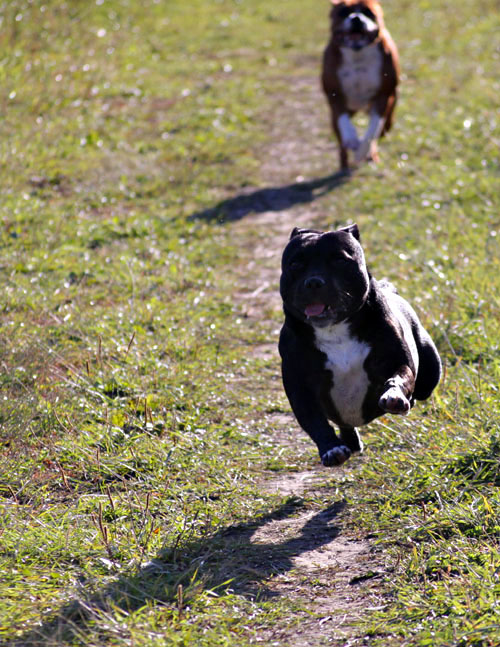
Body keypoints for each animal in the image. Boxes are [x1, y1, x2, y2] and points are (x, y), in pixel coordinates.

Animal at [279, 225, 441, 467]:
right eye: (295, 264)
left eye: (339, 260)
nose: (314, 281)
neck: (335, 330)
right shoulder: (300, 388)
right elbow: (315, 421)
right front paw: (331, 448)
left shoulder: (396, 361)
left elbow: (399, 377)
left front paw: (394, 396)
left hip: (429, 376)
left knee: (420, 389)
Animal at [321, 0, 399, 170]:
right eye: (343, 12)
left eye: (368, 12)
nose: (356, 18)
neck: (358, 56)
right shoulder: (334, 94)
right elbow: (343, 119)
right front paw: (351, 138)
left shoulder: (384, 96)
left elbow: (373, 129)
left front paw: (363, 151)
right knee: (341, 140)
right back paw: (343, 165)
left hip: (389, 116)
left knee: (380, 131)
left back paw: (370, 155)